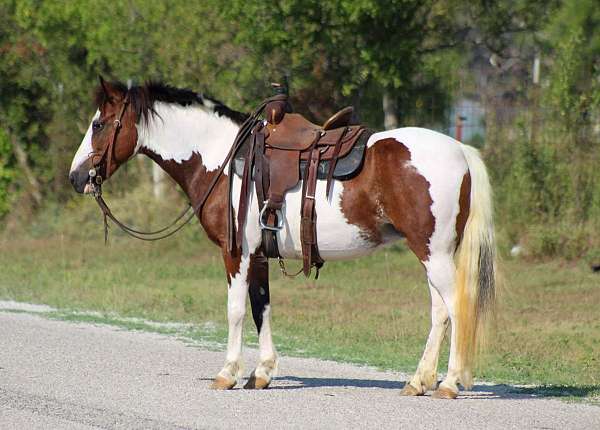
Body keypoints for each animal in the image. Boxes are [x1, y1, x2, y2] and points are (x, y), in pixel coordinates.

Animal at [69, 78, 496, 400]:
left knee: (456, 307)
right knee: (440, 313)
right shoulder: (259, 255)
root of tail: (459, 149)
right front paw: (262, 373)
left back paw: (450, 383)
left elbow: (236, 310)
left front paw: (228, 373)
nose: (75, 177)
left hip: (434, 253)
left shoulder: (236, 254)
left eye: (98, 125)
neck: (223, 159)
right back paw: (419, 381)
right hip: (431, 254)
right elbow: (262, 308)